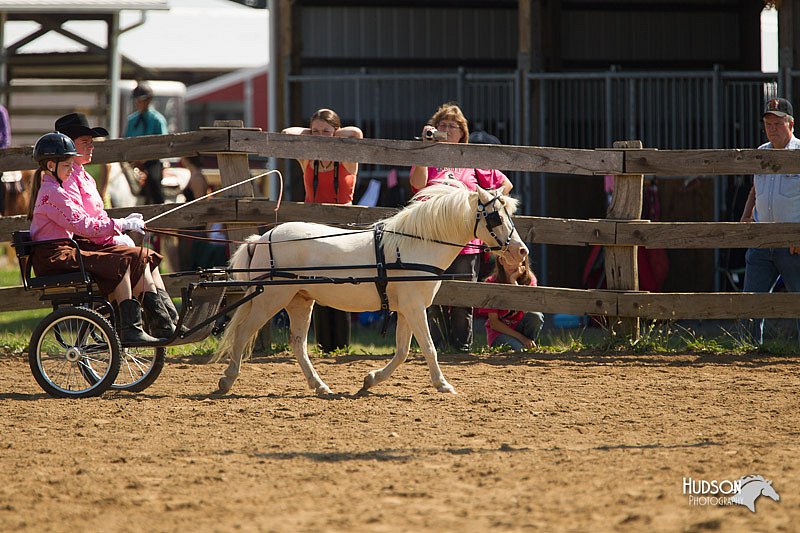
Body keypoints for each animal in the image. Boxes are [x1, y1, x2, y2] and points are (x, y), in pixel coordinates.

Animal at [209, 183, 528, 394]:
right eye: (496, 217)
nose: (521, 251)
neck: (414, 246)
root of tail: (263, 238)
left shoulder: (406, 310)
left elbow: (402, 351)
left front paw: (370, 379)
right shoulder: (414, 307)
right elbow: (428, 347)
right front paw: (443, 384)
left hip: (300, 300)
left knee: (297, 344)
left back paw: (320, 386)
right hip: (271, 298)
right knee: (243, 333)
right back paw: (226, 380)